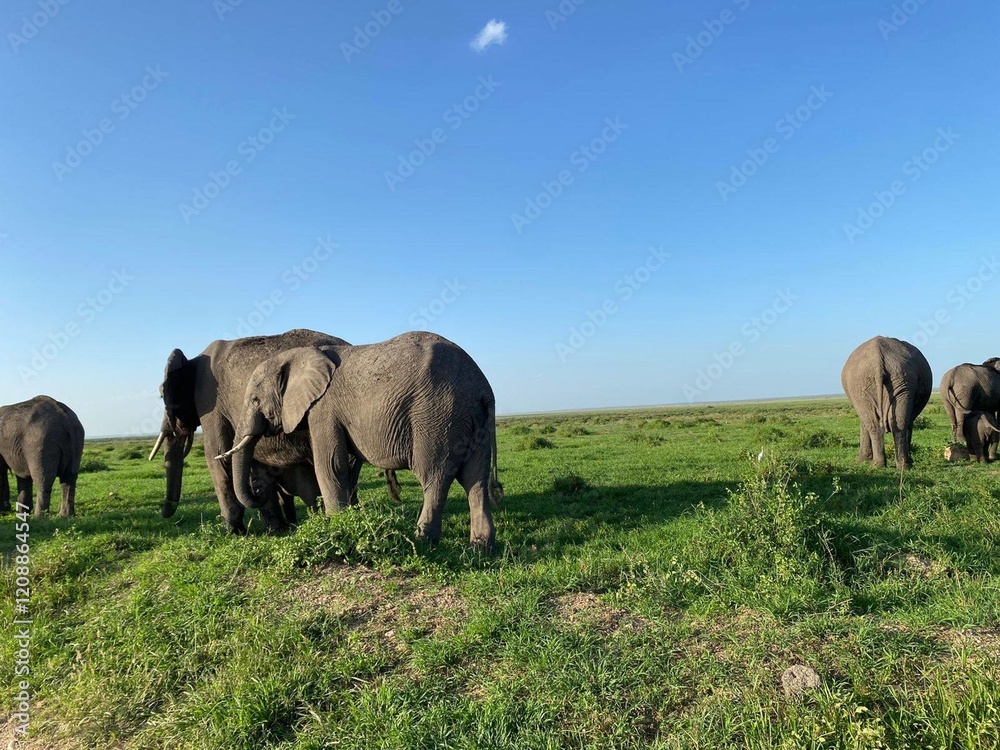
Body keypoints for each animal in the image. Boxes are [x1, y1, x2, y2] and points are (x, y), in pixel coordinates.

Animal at [148, 329, 401, 535]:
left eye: (162, 395)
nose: (163, 511)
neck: (192, 359)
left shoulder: (209, 401)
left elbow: (217, 457)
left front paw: (234, 532)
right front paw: (276, 530)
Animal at [217, 331, 503, 549]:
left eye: (255, 400)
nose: (260, 487)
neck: (297, 356)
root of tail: (483, 388)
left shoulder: (323, 408)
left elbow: (330, 466)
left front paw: (336, 529)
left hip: (437, 416)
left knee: (434, 477)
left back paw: (423, 541)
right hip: (473, 421)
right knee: (475, 480)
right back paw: (481, 548)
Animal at [841, 336, 932, 469]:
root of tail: (878, 358)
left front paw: (862, 462)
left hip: (890, 378)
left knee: (880, 423)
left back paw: (884, 465)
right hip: (871, 381)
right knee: (893, 422)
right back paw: (897, 465)